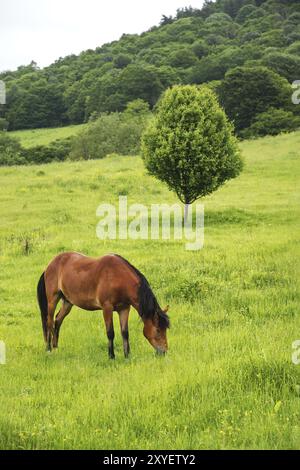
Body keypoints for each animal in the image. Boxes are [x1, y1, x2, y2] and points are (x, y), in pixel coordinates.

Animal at [35, 253, 169, 356]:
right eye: (158, 330)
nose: (164, 351)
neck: (118, 278)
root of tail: (49, 266)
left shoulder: (124, 309)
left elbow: (125, 333)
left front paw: (127, 355)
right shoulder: (107, 308)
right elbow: (110, 333)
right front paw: (111, 356)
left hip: (68, 302)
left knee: (58, 320)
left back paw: (55, 347)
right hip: (53, 300)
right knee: (49, 322)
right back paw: (48, 349)